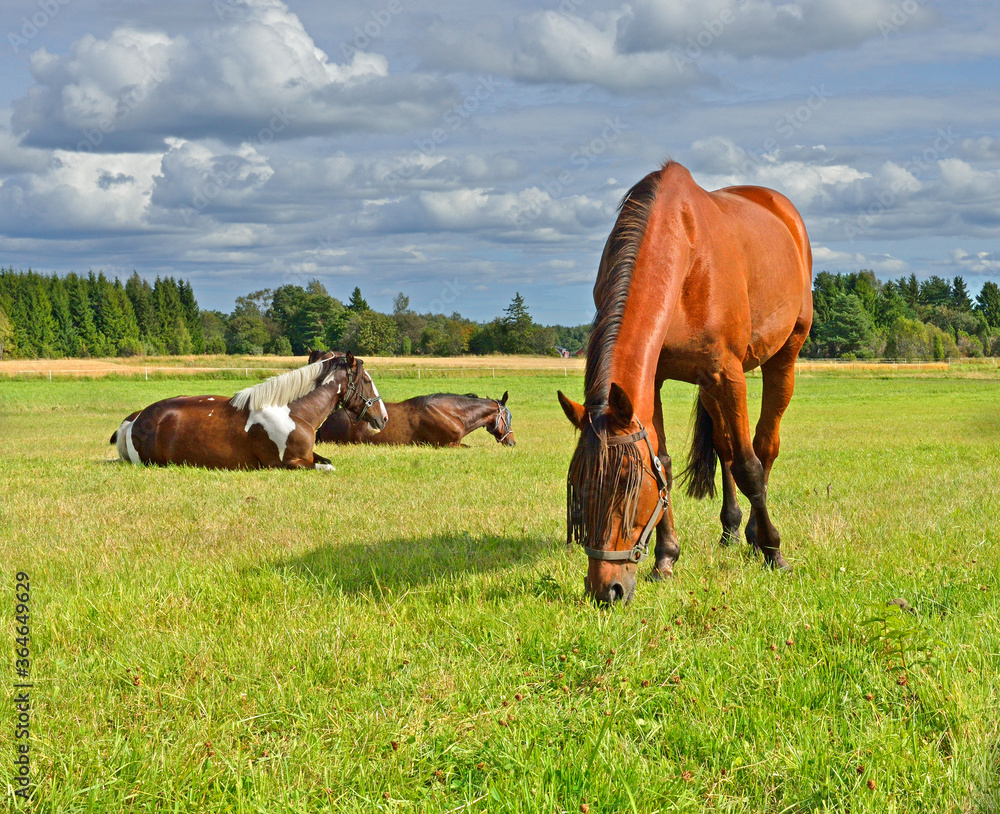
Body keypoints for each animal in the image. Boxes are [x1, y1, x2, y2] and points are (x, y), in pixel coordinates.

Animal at [110, 354, 388, 470]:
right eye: (366, 380)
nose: (383, 418)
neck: (293, 412)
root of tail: (136, 419)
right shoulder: (288, 464)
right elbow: (327, 468)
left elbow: (327, 461)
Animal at [558, 161, 812, 604]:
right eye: (580, 489)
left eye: (627, 486)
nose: (607, 590)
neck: (685, 255)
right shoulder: (657, 380)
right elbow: (667, 461)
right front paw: (666, 558)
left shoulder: (727, 374)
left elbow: (750, 467)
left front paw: (773, 551)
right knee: (727, 448)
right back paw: (731, 528)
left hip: (782, 357)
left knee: (763, 446)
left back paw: (755, 535)